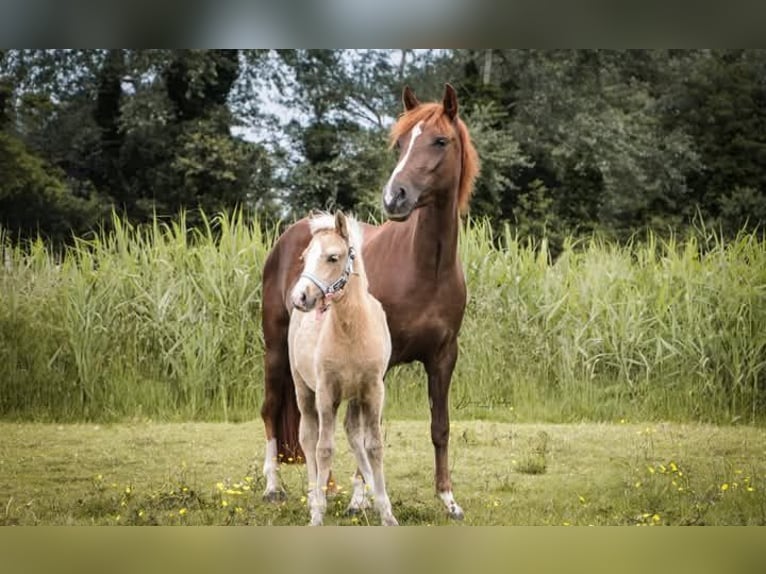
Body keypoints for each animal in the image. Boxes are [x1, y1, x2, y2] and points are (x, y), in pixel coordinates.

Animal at [286, 214, 396, 528]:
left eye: (332, 257)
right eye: (304, 257)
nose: (300, 297)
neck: (351, 330)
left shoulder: (373, 390)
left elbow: (374, 446)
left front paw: (386, 512)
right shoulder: (326, 392)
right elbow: (324, 449)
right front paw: (318, 514)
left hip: (355, 397)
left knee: (354, 437)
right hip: (304, 390)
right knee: (309, 438)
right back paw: (314, 497)